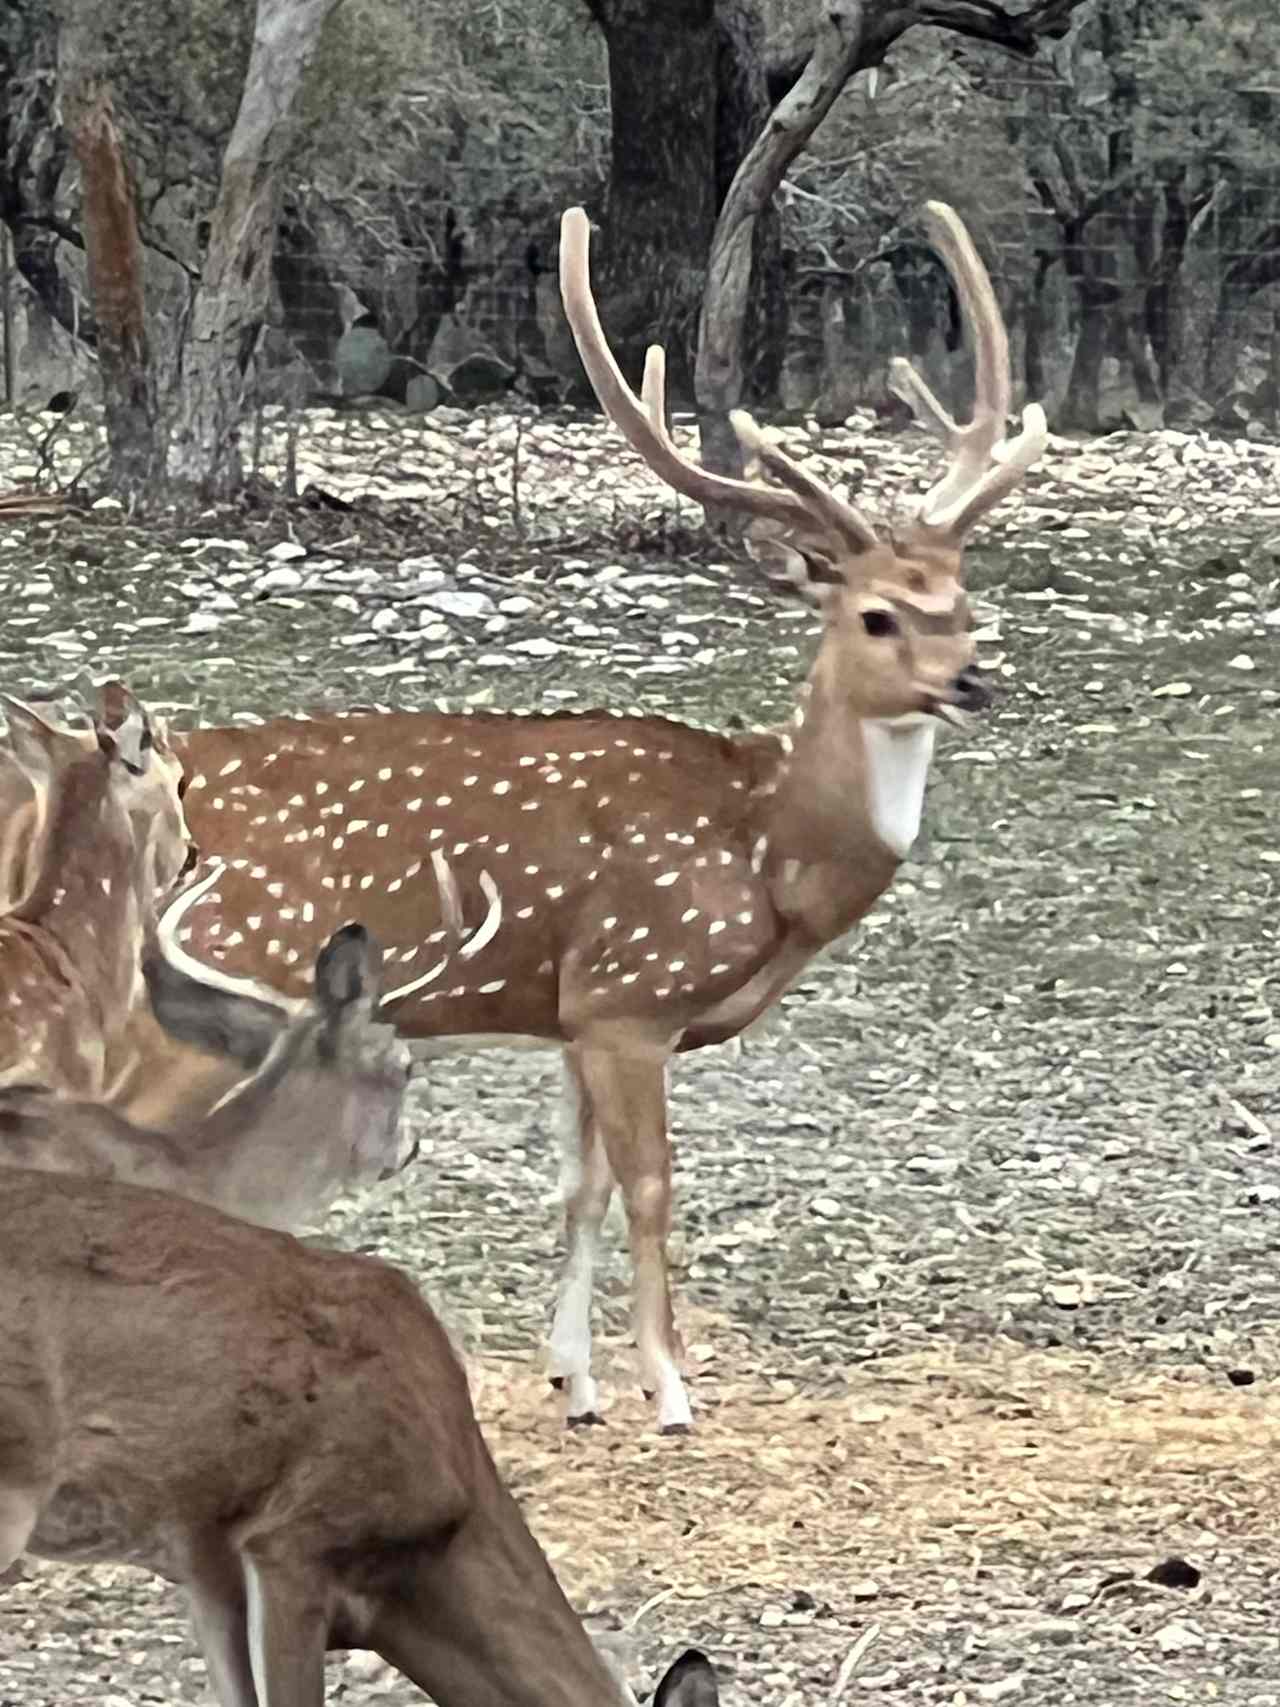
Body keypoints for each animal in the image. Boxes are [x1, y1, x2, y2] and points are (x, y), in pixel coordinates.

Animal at [162, 199, 1051, 1433]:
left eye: (963, 603)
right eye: (876, 615)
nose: (972, 681)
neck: (767, 850)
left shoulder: (574, 1008)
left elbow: (575, 1183)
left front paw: (574, 1378)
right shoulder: (633, 994)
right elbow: (649, 1185)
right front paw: (669, 1386)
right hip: (227, 963)